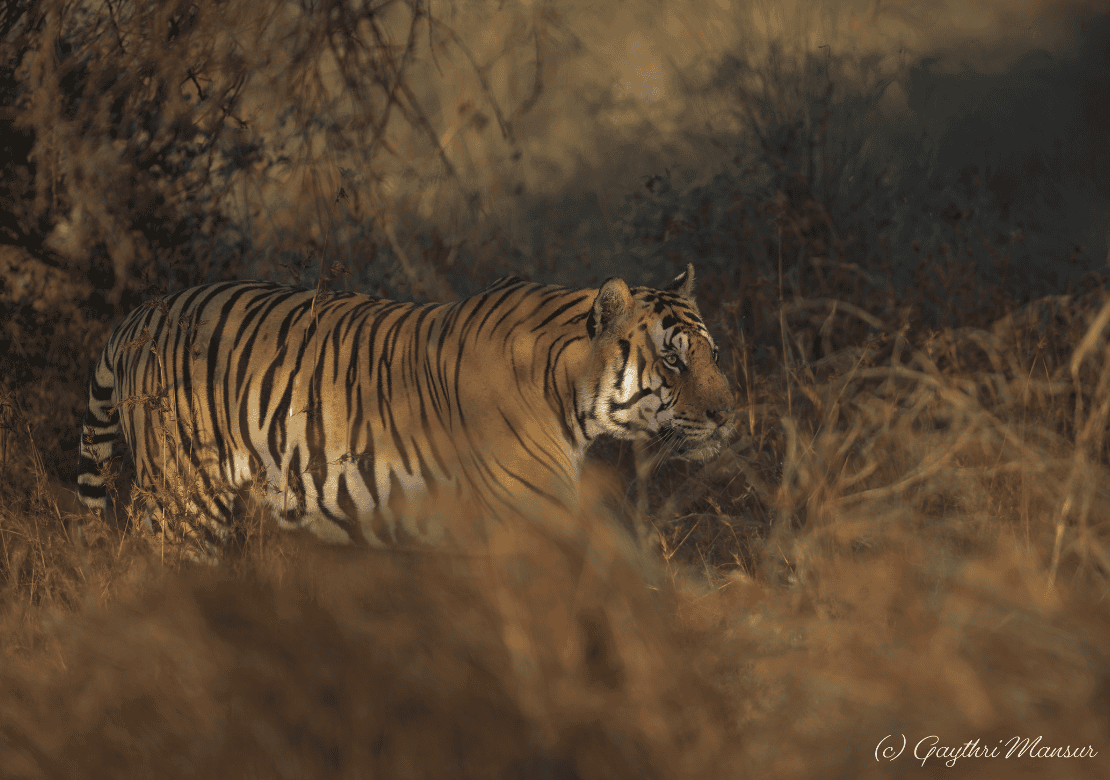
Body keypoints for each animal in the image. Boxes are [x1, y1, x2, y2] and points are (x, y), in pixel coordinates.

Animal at [75, 264, 734, 558]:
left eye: (713, 353)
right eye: (672, 361)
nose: (729, 415)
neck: (569, 390)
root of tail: (139, 315)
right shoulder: (534, 508)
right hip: (183, 501)